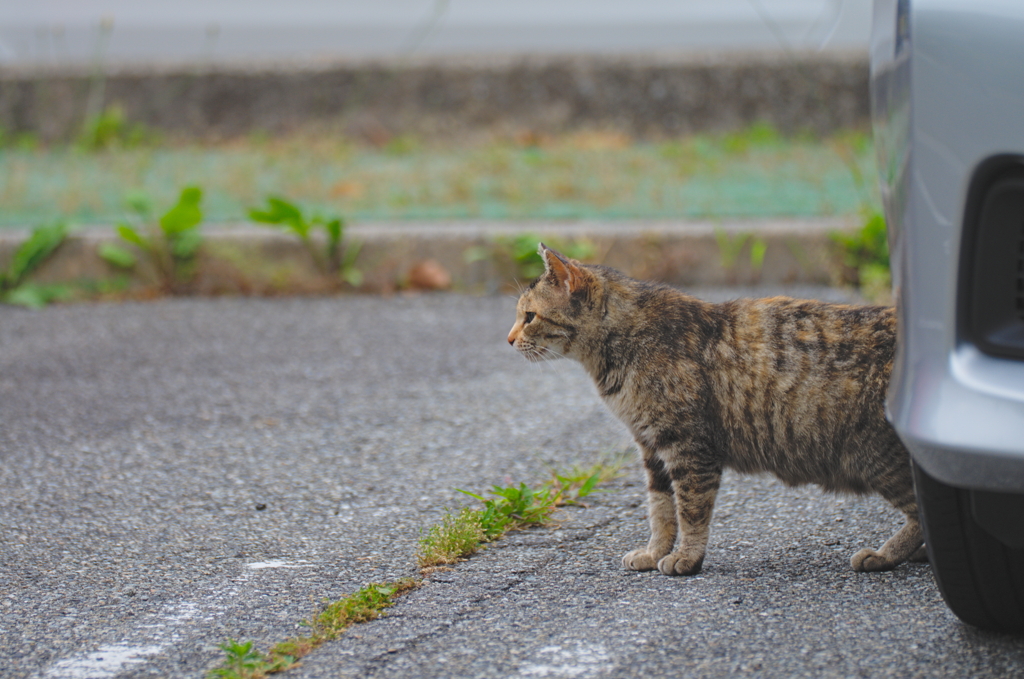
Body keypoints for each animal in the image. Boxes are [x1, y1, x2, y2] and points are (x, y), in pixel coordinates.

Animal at [507, 242, 925, 573]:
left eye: (529, 316)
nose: (509, 340)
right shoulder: (652, 449)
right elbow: (660, 511)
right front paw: (654, 552)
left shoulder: (688, 446)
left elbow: (691, 510)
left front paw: (686, 557)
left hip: (877, 458)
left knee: (921, 512)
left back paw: (886, 554)